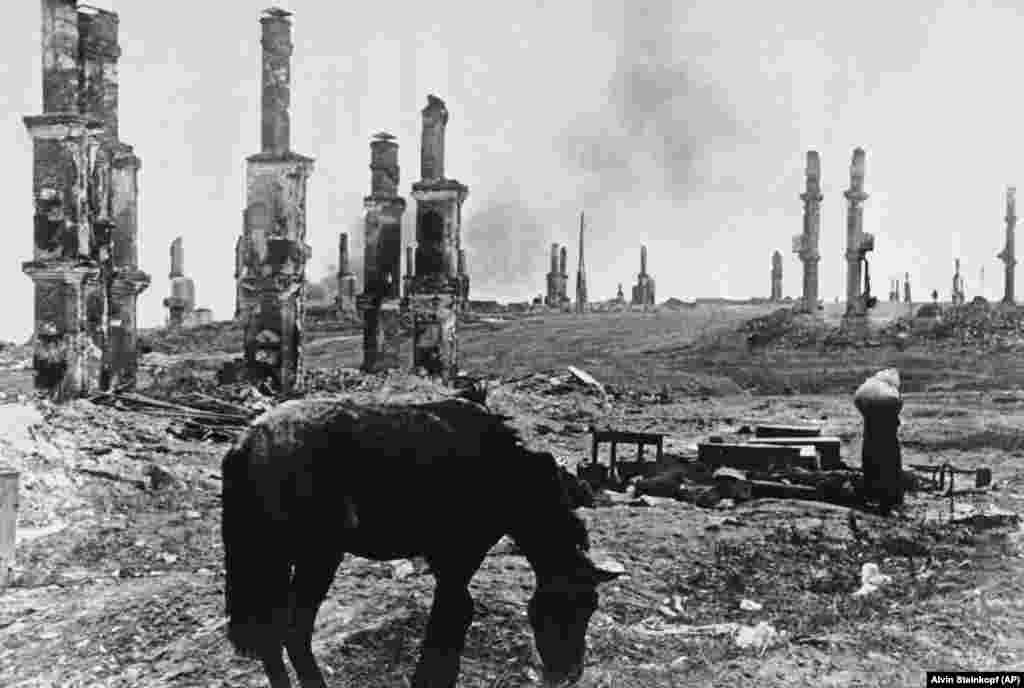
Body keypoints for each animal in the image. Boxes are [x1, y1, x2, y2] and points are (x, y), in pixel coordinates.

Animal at [222, 397, 622, 688]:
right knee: (292, 629)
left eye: (592, 607)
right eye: (575, 605)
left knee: (272, 632)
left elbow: (452, 614)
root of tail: (247, 442)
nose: (569, 675)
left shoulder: (446, 561)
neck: (505, 470)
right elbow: (452, 614)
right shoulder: (460, 556)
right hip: (312, 556)